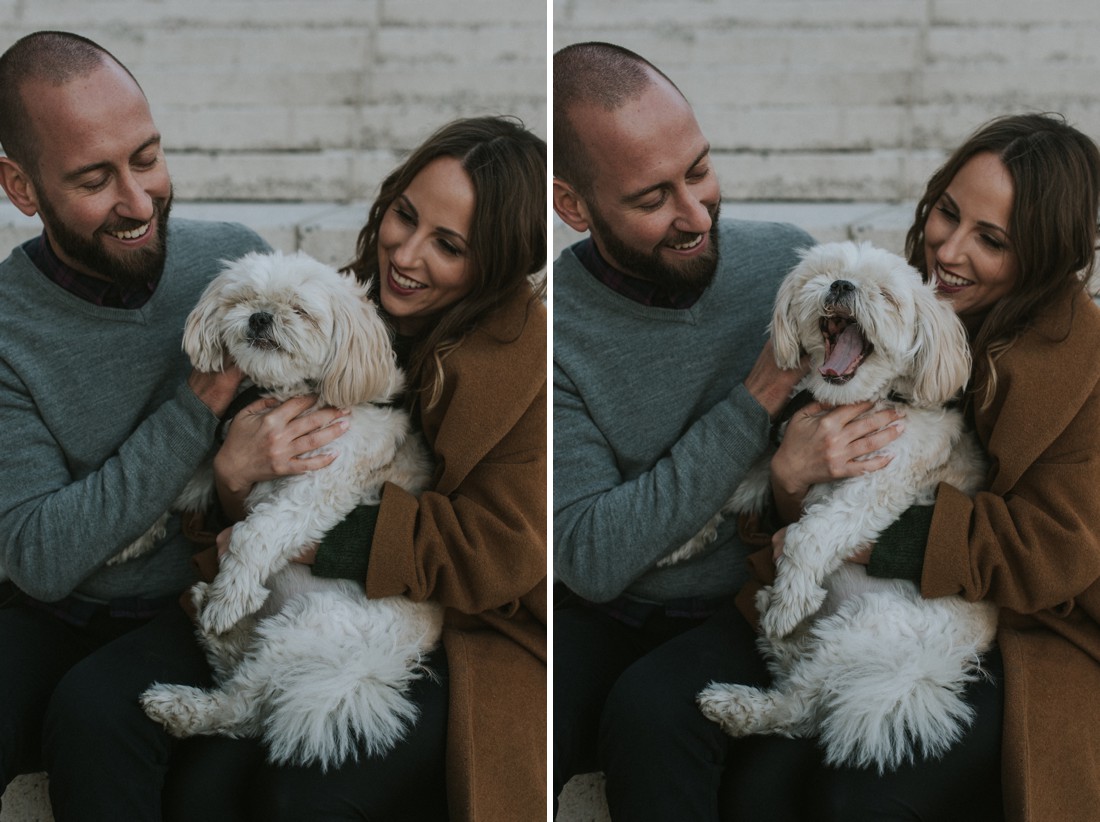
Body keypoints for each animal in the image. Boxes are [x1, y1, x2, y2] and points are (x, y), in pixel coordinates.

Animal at [138, 250, 442, 770]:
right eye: (243, 298)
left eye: (299, 310)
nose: (261, 317)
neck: (287, 394)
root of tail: (384, 663)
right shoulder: (229, 453)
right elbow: (183, 483)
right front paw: (133, 537)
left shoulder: (319, 486)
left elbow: (254, 532)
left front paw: (231, 593)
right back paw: (209, 616)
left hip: (308, 632)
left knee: (243, 709)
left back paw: (183, 693)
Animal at [668, 243, 998, 770]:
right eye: (824, 275)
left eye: (886, 294)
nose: (842, 286)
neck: (852, 404)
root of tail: (938, 666)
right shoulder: (785, 455)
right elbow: (735, 484)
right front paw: (681, 541)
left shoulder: (878, 486)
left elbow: (810, 533)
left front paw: (790, 598)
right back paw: (771, 618)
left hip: (866, 631)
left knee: (802, 707)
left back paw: (744, 687)